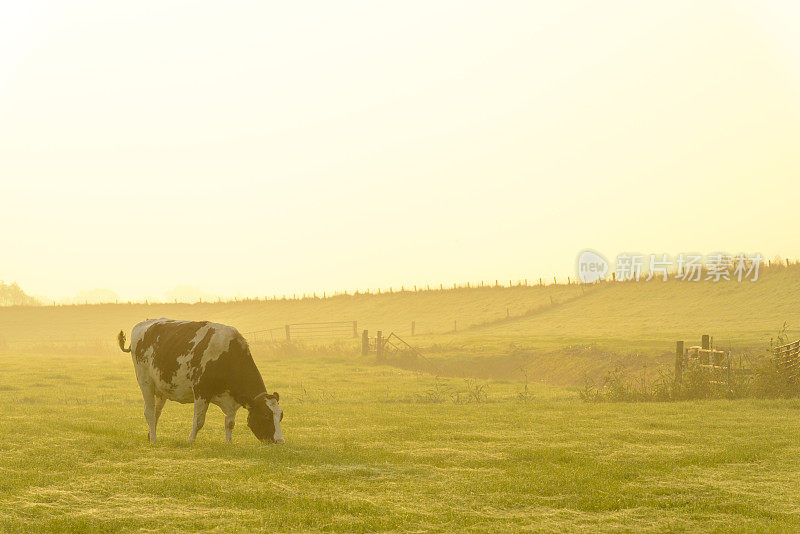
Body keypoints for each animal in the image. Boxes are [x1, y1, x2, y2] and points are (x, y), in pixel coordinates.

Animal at [117, 320, 282, 446]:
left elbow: (230, 423)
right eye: (266, 415)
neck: (227, 355)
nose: (280, 441)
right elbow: (198, 421)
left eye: (281, 416)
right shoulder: (201, 392)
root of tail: (144, 324)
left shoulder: (232, 400)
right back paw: (154, 440)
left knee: (156, 412)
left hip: (161, 389)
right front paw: (190, 440)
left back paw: (150, 435)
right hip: (145, 383)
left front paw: (228, 443)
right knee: (149, 412)